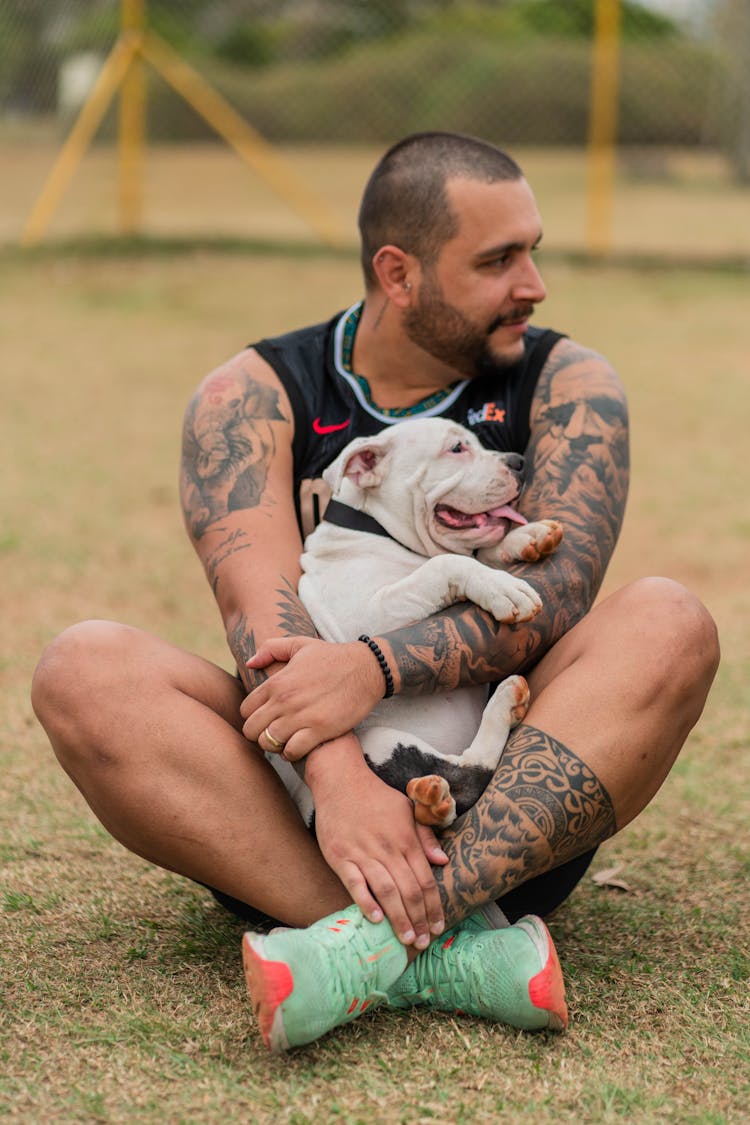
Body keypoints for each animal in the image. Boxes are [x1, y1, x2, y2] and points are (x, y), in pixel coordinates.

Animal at [266, 418, 559, 832]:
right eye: (456, 448)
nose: (518, 462)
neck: (376, 529)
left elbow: (472, 551)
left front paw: (524, 537)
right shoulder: (362, 616)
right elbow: (446, 563)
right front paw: (501, 586)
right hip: (377, 740)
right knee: (470, 776)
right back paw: (504, 703)